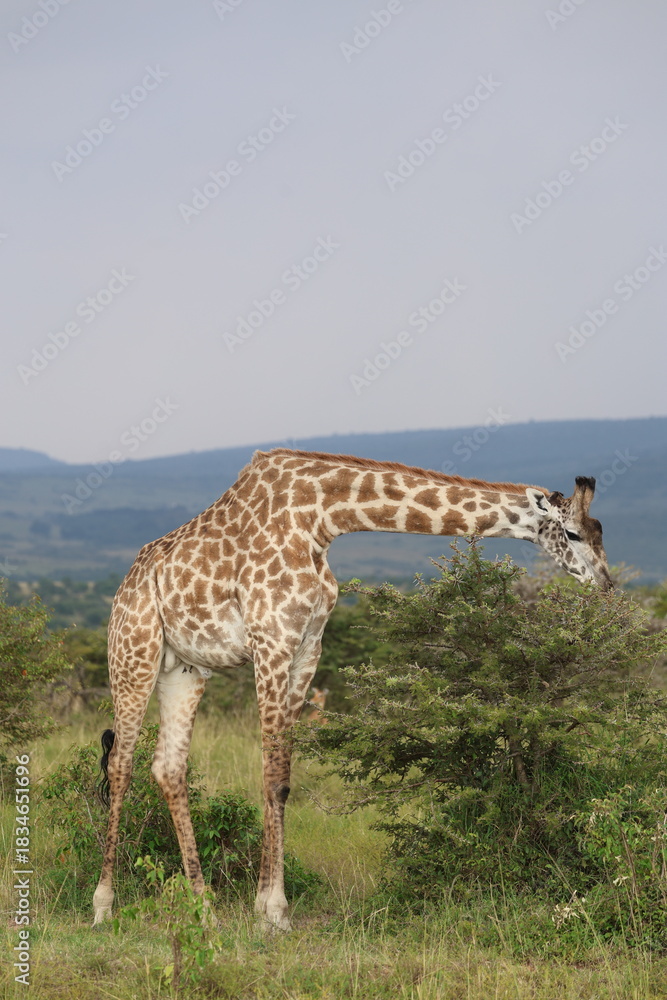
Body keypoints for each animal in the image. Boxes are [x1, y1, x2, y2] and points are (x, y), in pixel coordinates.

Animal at [92, 448, 612, 931]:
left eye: (601, 530)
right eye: (572, 534)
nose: (606, 587)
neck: (320, 520)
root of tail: (124, 586)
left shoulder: (308, 647)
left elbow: (283, 781)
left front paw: (268, 907)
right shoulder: (271, 640)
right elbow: (269, 774)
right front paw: (273, 911)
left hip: (185, 669)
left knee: (168, 768)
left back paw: (203, 909)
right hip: (134, 654)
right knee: (121, 763)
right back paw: (104, 906)